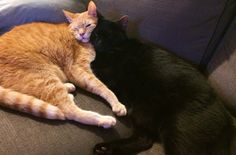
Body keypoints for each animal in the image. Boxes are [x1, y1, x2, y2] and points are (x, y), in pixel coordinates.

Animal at [90, 13, 234, 154]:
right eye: (96, 34)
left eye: (109, 36)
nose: (98, 41)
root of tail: (228, 121)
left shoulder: (109, 74)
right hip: (143, 112)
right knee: (144, 139)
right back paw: (104, 148)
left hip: (176, 129)